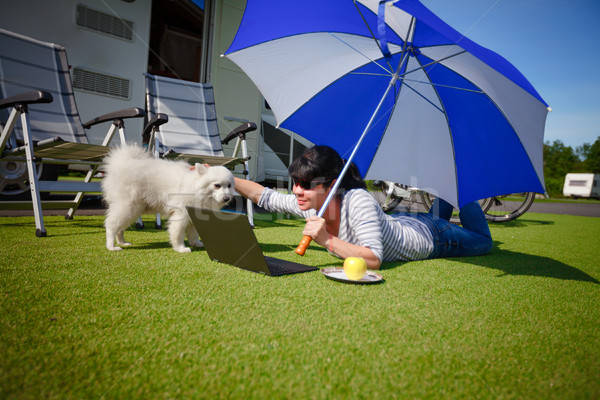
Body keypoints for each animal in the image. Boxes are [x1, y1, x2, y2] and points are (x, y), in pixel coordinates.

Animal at [101, 145, 234, 253]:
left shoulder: (193, 216)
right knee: (111, 225)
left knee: (120, 228)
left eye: (229, 186)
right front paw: (180, 248)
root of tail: (121, 164)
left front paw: (196, 244)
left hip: (134, 211)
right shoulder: (181, 215)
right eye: (217, 185)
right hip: (127, 207)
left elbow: (193, 233)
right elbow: (178, 233)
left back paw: (122, 242)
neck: (195, 187)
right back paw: (112, 247)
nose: (227, 198)